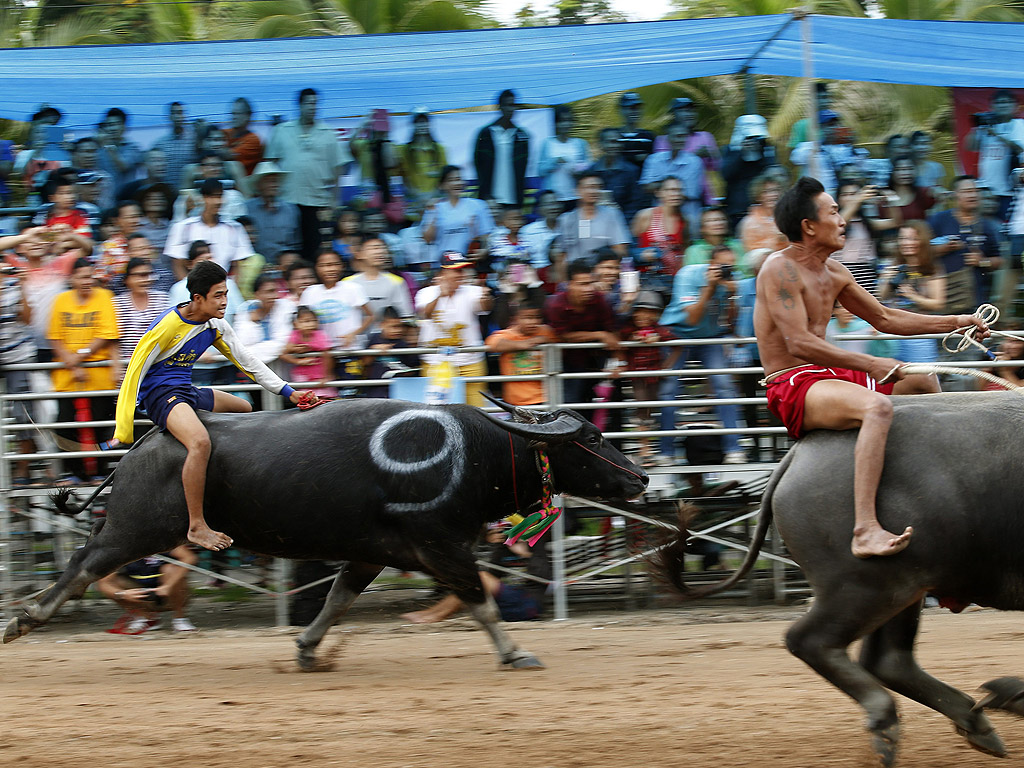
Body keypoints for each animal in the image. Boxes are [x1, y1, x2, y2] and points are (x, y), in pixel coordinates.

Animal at [6, 399, 647, 671]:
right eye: (591, 438)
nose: (639, 476)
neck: (479, 451)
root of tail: (146, 440)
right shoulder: (440, 546)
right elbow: (479, 599)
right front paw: (515, 653)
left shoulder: (371, 555)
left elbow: (336, 602)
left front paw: (309, 649)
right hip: (133, 529)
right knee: (84, 565)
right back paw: (23, 619)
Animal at [655, 393, 1024, 765]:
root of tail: (795, 456)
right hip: (865, 587)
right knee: (810, 640)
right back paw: (891, 721)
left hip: (903, 588)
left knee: (888, 660)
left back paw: (978, 722)